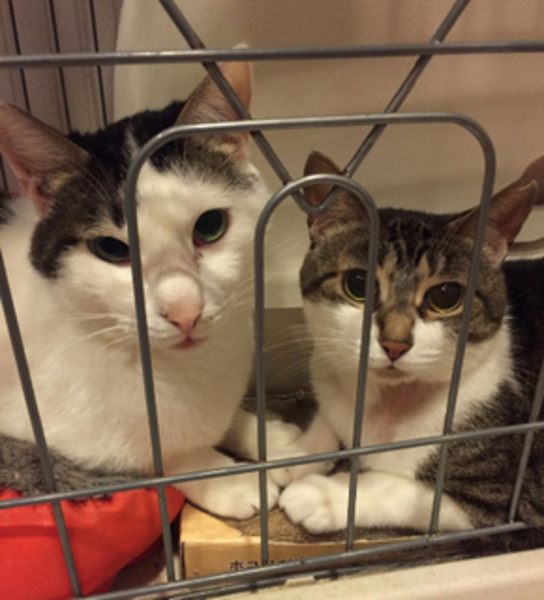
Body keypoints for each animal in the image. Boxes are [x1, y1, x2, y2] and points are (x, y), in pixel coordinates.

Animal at [0, 61, 289, 519]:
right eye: (111, 249)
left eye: (210, 226)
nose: (185, 311)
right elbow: (162, 453)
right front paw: (228, 478)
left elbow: (226, 418)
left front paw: (274, 437)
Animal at [275, 150, 544, 537]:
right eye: (358, 283)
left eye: (445, 296)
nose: (395, 343)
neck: (384, 400)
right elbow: (329, 418)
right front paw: (297, 452)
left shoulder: (506, 497)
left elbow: (395, 487)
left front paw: (322, 495)